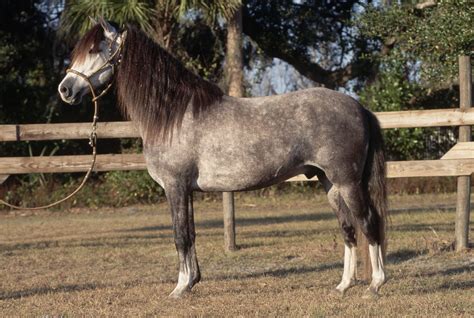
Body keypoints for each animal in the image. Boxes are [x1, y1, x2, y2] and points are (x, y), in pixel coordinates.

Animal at [58, 19, 388, 298]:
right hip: (329, 183)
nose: (65, 90)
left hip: (348, 182)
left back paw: (374, 285)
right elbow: (191, 234)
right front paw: (192, 281)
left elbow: (180, 236)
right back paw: (343, 286)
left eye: (94, 50)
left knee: (369, 223)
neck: (174, 116)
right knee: (347, 229)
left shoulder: (175, 186)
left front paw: (179, 288)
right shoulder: (187, 190)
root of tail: (359, 107)